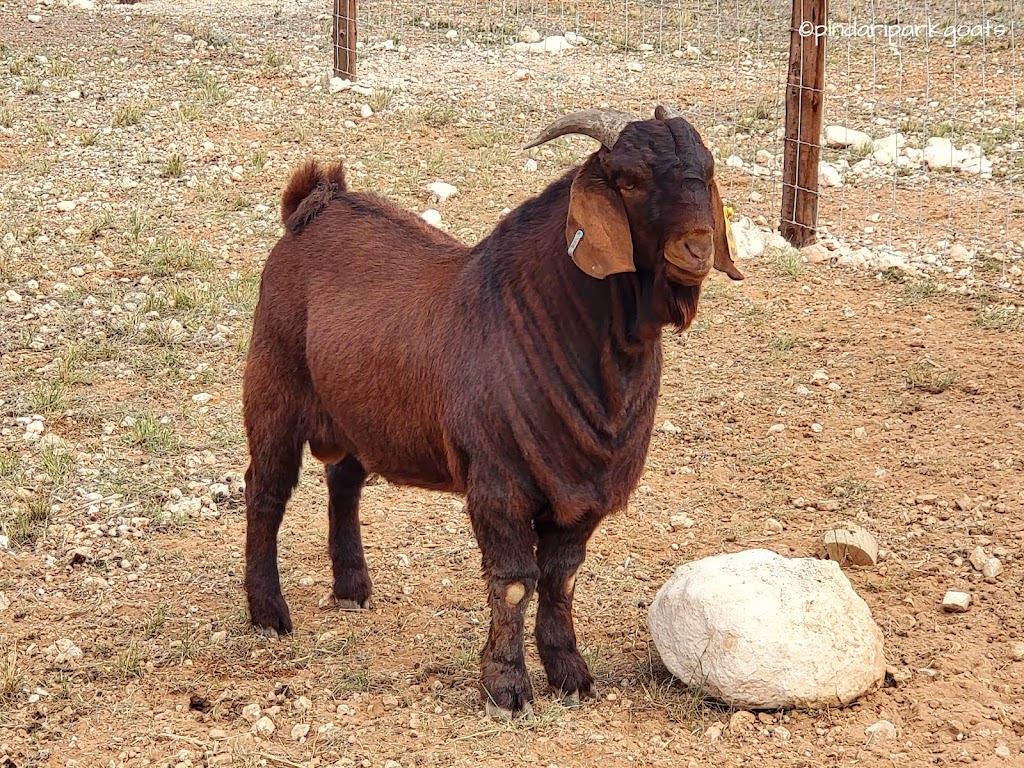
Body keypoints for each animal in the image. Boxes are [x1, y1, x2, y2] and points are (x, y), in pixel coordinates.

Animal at [242, 105, 744, 720]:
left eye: (708, 169)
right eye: (629, 180)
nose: (696, 249)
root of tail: (313, 205)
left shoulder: (584, 491)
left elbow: (561, 578)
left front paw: (571, 676)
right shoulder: (498, 482)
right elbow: (514, 581)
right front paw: (507, 689)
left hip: (359, 414)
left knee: (344, 480)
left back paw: (353, 589)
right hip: (274, 388)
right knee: (266, 491)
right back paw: (268, 614)